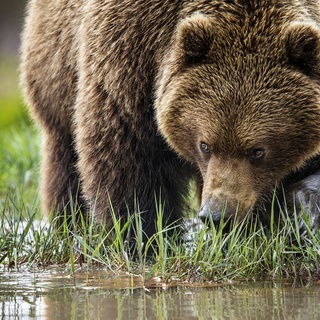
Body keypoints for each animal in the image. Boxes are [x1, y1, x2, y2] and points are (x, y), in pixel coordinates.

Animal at [20, 0, 320, 236]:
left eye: (258, 151)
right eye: (204, 145)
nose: (217, 215)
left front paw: (297, 215)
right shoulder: (130, 58)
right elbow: (127, 162)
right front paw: (140, 238)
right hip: (56, 71)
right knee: (65, 161)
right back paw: (71, 225)